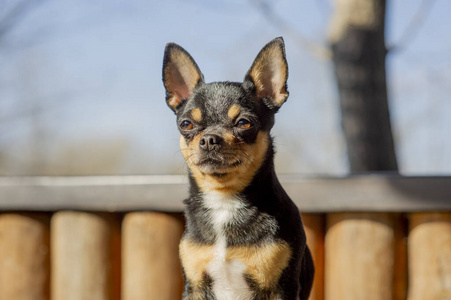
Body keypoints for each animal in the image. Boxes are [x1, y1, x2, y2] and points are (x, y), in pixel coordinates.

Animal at [162, 37, 314, 300]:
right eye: (186, 124)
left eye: (244, 123)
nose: (209, 139)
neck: (225, 200)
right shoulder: (195, 287)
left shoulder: (280, 288)